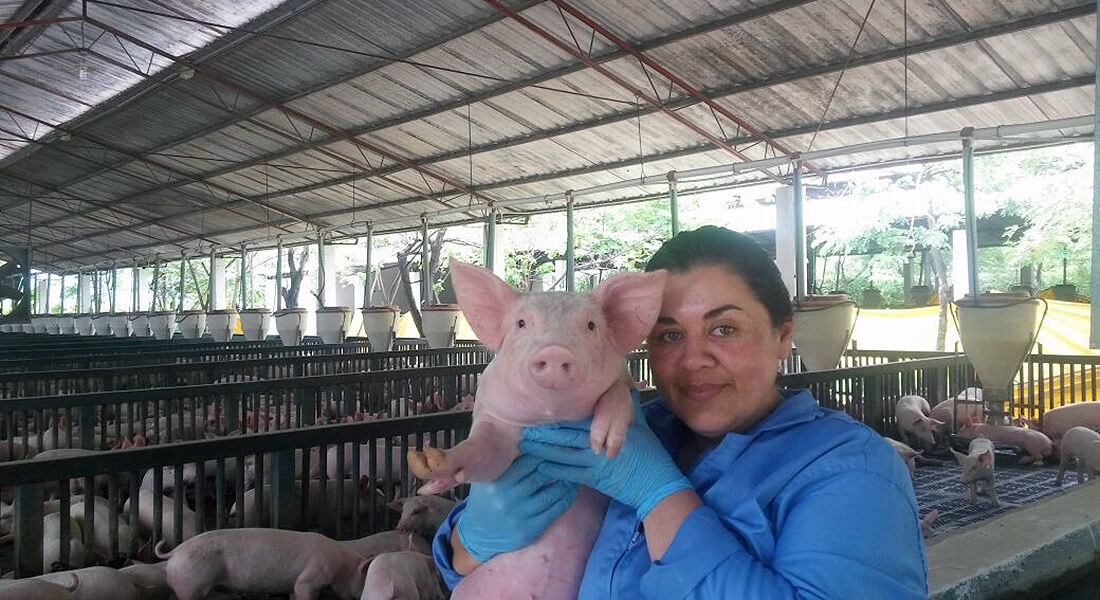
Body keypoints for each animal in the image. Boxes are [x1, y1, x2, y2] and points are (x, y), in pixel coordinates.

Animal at [155, 528, 369, 598]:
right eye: (363, 580)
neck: (341, 566)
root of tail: (174, 552)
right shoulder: (310, 577)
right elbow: (304, 590)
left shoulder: (293, 583)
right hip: (191, 583)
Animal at [404, 259, 660, 598]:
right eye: (522, 323)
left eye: (591, 325)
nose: (554, 351)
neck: (548, 419)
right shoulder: (495, 423)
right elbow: (484, 455)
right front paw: (427, 461)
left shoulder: (628, 388)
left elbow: (620, 396)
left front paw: (604, 445)